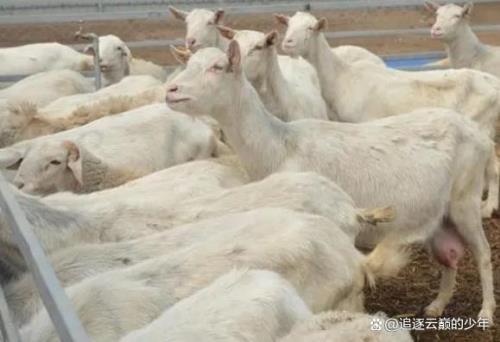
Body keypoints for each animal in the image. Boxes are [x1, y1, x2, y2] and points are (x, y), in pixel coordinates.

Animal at [165, 41, 496, 322]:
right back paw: (436, 306)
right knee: (449, 257)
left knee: (482, 253)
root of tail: (477, 134)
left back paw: (486, 311)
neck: (279, 146)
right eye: (188, 63)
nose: (171, 90)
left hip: (466, 197)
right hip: (440, 213)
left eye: (218, 66)